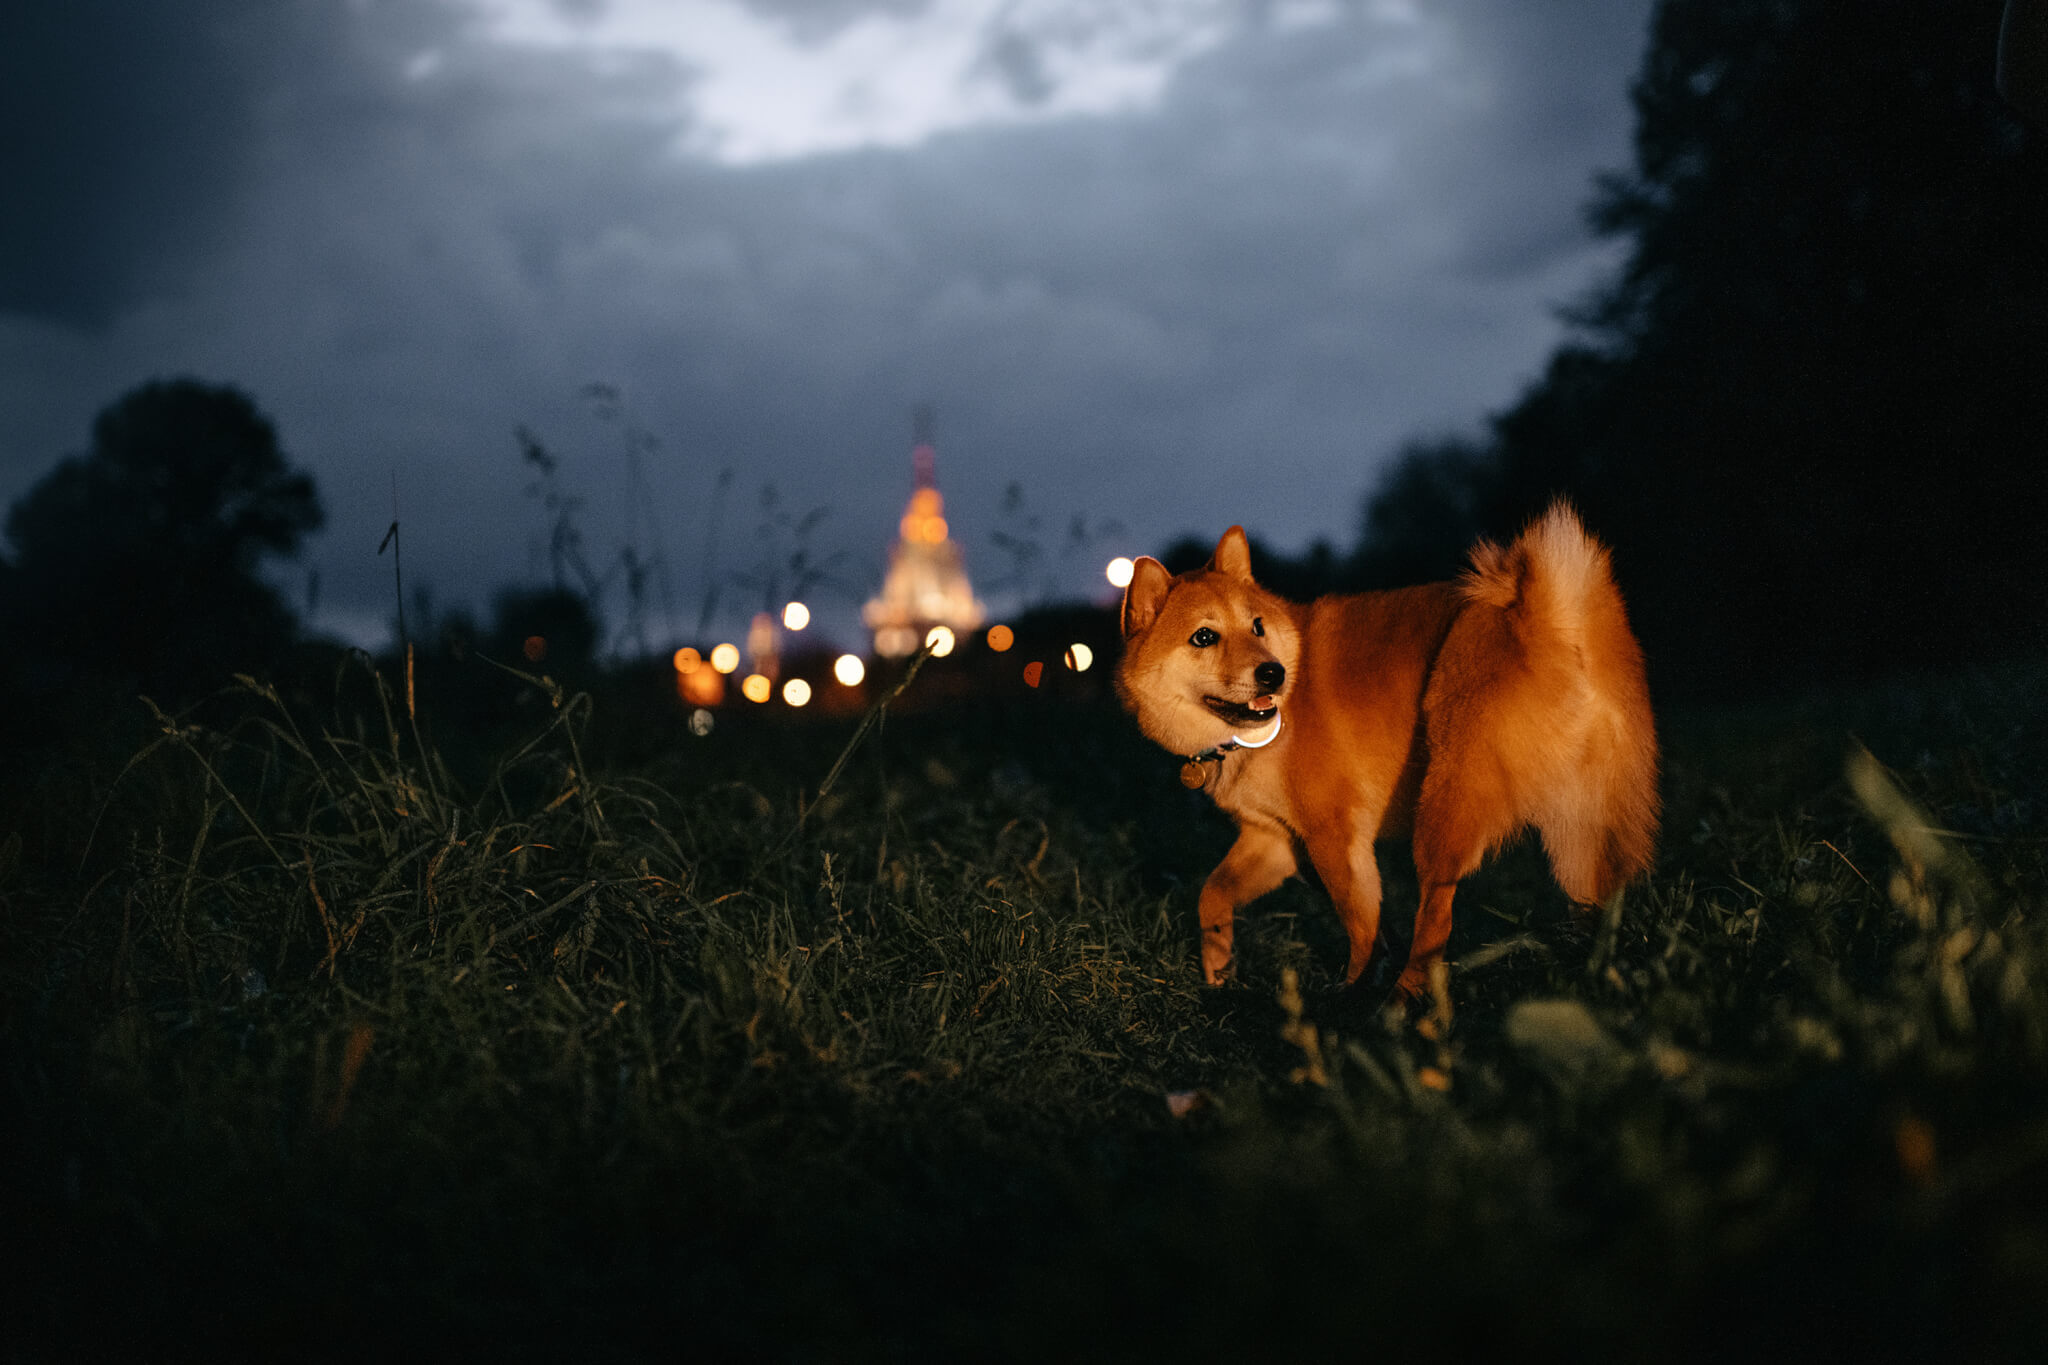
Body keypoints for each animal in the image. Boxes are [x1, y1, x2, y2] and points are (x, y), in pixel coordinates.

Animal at [1122, 501, 1662, 994]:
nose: (1272, 673)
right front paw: (1218, 971)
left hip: (1444, 812)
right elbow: (1213, 896)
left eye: (1256, 626)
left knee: (1436, 921)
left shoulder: (1334, 838)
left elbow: (1360, 926)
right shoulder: (1275, 840)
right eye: (1204, 637)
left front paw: (1353, 992)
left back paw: (1401, 1006)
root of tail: (1550, 619)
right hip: (1583, 833)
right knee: (1593, 911)